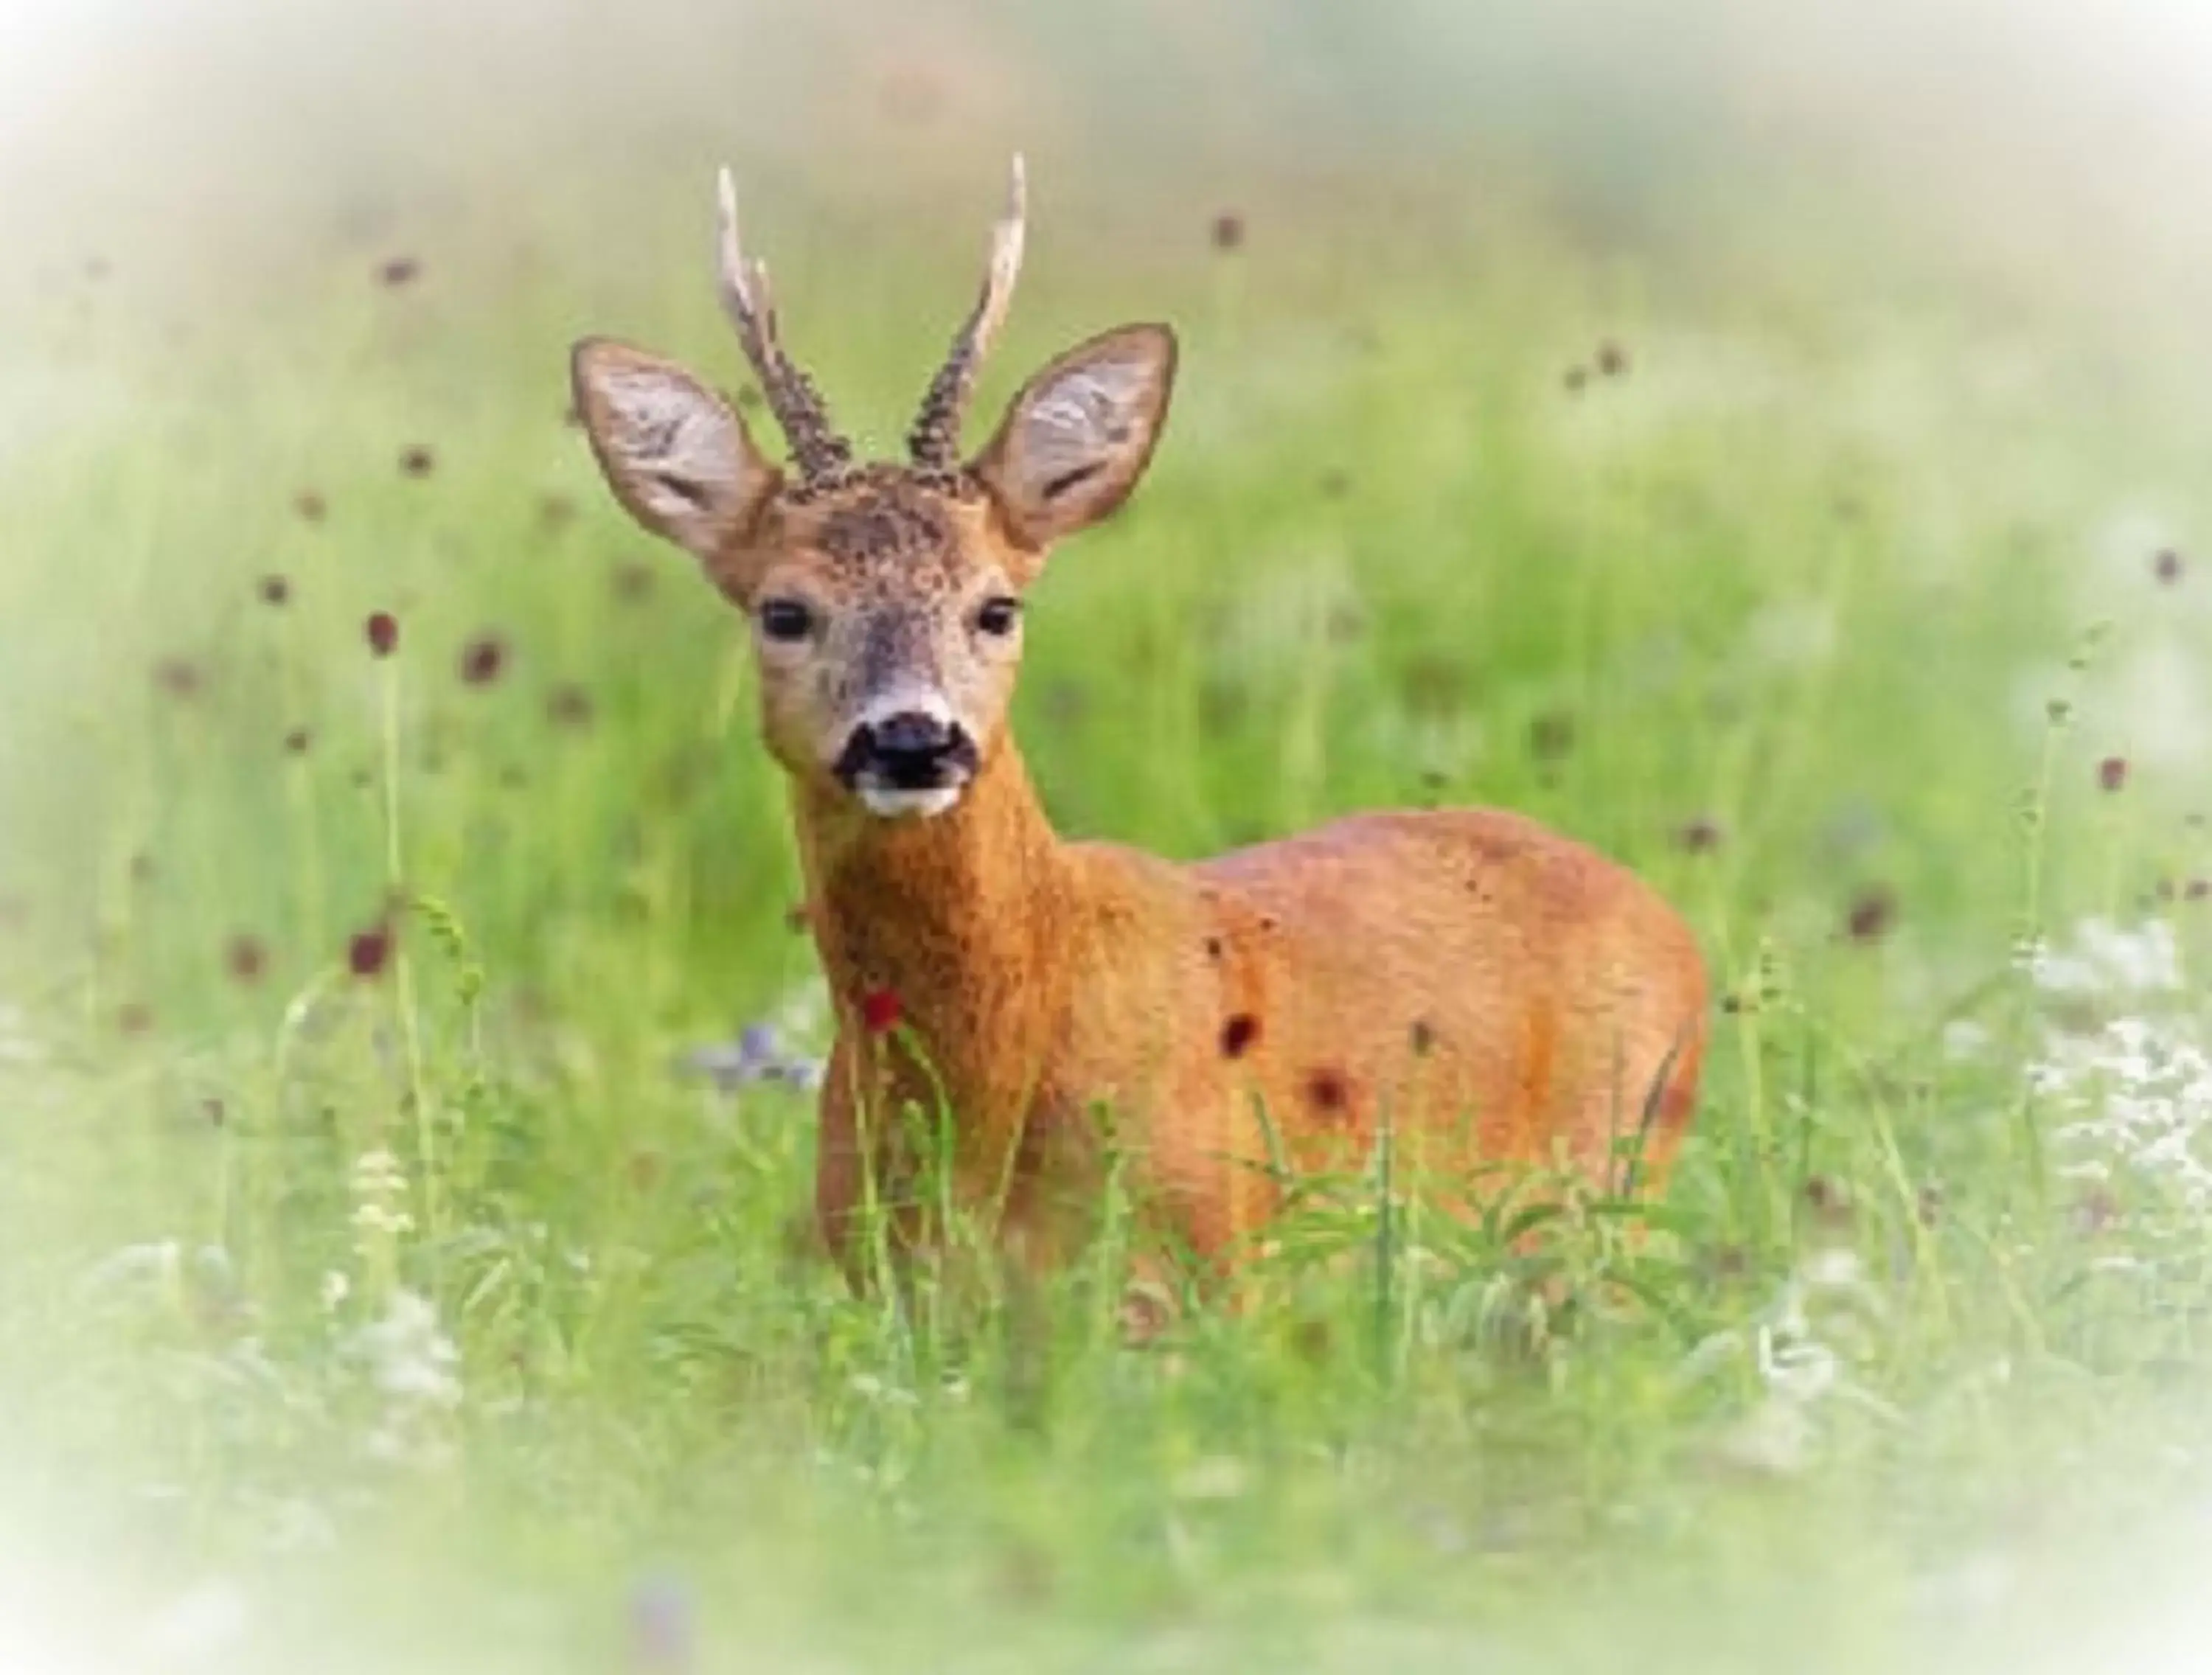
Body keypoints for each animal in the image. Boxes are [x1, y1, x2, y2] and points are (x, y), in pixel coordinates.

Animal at [571, 160, 1708, 1292]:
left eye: (997, 606)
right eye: (783, 611)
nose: (912, 740)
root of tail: (1671, 926)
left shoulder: (1212, 1258)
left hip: (1605, 1183)